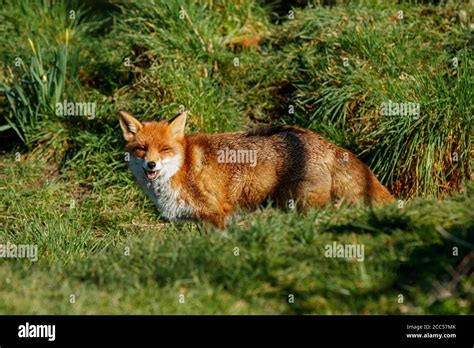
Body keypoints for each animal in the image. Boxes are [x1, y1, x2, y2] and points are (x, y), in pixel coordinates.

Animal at [118, 109, 392, 228]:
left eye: (164, 149)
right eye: (142, 149)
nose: (151, 164)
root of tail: (322, 140)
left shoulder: (215, 215)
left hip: (302, 204)